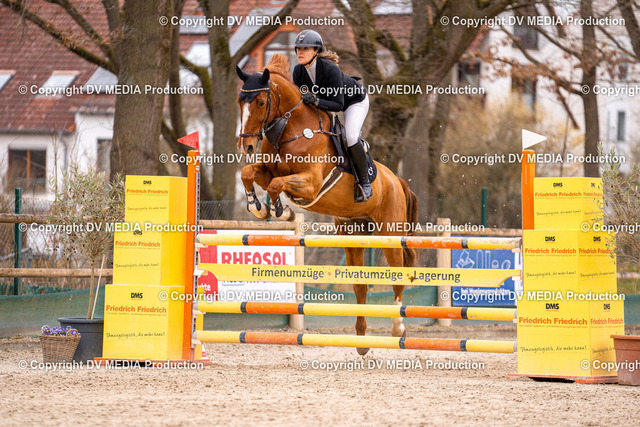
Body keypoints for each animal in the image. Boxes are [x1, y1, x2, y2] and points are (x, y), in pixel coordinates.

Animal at [235, 54, 418, 355]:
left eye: (261, 103)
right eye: (241, 101)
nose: (246, 146)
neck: (292, 129)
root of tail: (397, 180)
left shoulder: (310, 184)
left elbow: (275, 186)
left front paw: (281, 211)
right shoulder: (269, 170)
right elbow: (248, 173)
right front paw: (259, 208)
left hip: (389, 233)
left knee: (398, 275)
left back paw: (397, 328)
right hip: (352, 236)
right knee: (360, 286)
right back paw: (361, 339)